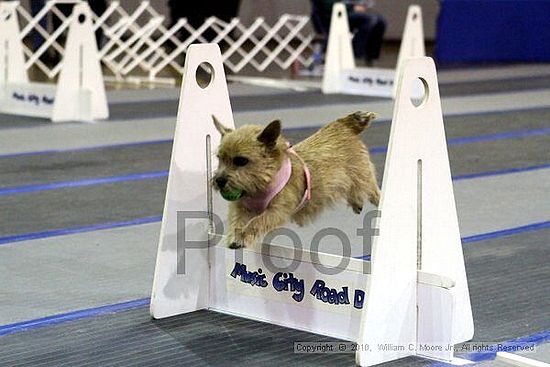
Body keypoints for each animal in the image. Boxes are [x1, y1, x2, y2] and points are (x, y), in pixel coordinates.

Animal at [213, 111, 382, 250]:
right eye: (219, 158)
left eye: (241, 161)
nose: (219, 180)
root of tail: (342, 125)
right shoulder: (240, 207)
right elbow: (237, 221)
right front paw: (235, 236)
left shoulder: (276, 211)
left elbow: (257, 221)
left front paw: (244, 235)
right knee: (355, 190)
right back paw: (357, 202)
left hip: (362, 174)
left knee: (372, 189)